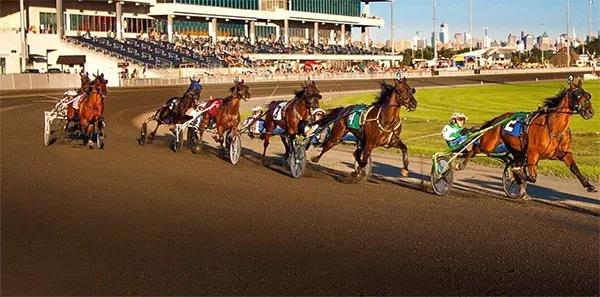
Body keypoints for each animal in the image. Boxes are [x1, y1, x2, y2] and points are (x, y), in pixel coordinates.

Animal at [462, 77, 592, 194]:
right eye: (577, 96)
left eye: (587, 95)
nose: (590, 112)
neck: (553, 128)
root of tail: (497, 119)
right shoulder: (532, 153)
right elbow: (531, 176)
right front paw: (519, 176)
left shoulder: (564, 153)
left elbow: (575, 168)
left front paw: (588, 185)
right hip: (488, 144)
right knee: (475, 149)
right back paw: (461, 164)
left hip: (515, 149)